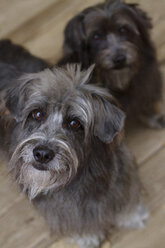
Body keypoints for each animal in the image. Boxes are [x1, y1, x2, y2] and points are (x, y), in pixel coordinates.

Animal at [0, 61, 148, 247]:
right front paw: (86, 236)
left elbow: (125, 197)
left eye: (74, 123)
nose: (42, 154)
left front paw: (132, 215)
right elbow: (76, 219)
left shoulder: (121, 175)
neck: (85, 174)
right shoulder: (62, 207)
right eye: (37, 114)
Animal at [58, 0, 164, 128]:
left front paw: (154, 118)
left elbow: (147, 103)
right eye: (96, 36)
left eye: (123, 29)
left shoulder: (146, 85)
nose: (119, 59)